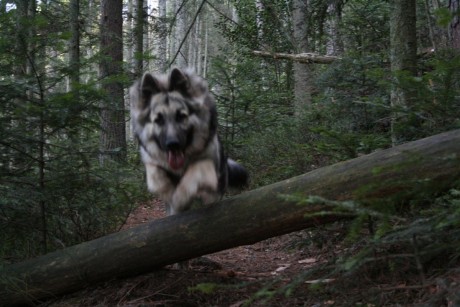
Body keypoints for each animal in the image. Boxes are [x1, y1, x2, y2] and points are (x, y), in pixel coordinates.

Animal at [128, 68, 248, 215]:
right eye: (158, 120)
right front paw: (168, 193)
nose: (172, 144)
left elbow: (193, 175)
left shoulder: (208, 162)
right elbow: (156, 176)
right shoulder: (151, 161)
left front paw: (179, 199)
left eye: (181, 116)